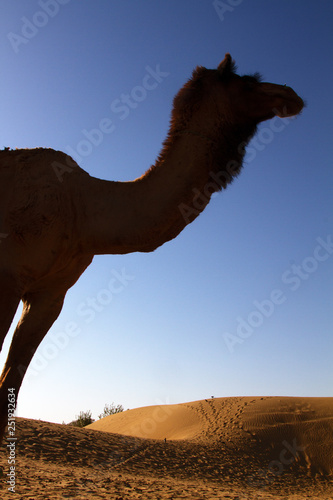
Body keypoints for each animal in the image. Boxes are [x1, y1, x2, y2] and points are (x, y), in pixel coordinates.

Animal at [0, 54, 302, 444]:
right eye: (249, 82)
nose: (292, 95)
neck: (83, 210)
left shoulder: (50, 295)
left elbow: (11, 383)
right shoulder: (8, 277)